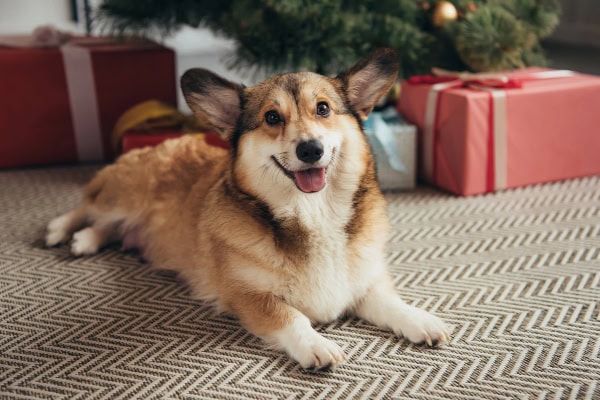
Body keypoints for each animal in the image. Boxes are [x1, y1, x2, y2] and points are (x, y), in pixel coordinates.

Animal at [45, 50, 450, 372]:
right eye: (272, 117)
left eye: (323, 109)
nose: (310, 150)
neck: (313, 213)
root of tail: (163, 141)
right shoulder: (249, 296)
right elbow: (292, 316)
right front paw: (317, 345)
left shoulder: (364, 282)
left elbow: (391, 303)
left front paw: (422, 321)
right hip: (124, 197)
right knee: (88, 206)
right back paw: (62, 229)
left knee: (109, 228)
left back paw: (85, 240)